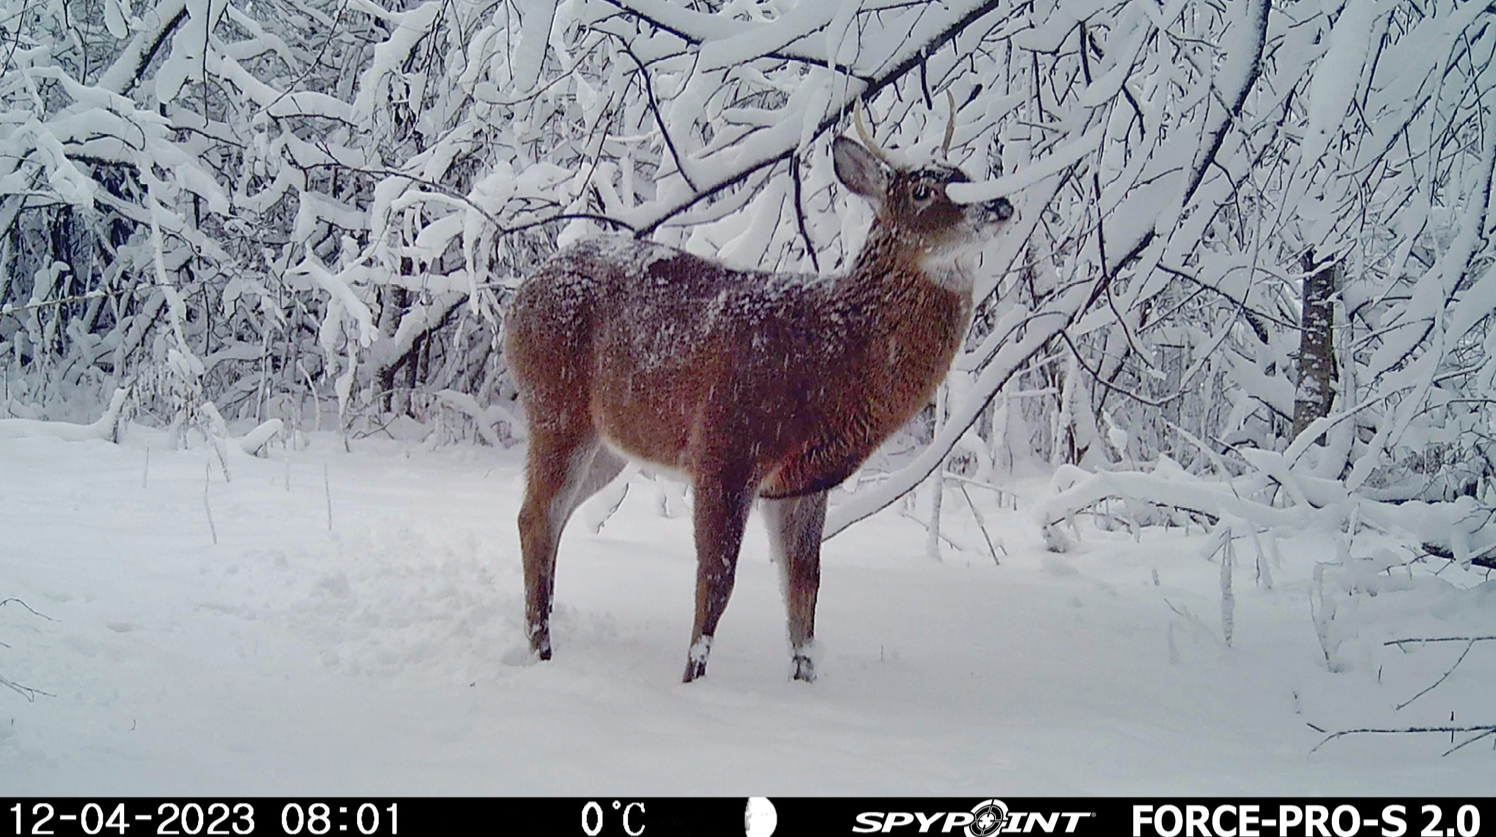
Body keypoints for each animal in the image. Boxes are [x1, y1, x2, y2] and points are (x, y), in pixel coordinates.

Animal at [504, 101, 1015, 682]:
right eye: (923, 190)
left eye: (965, 174)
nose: (1000, 202)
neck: (831, 352)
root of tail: (518, 296)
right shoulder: (725, 446)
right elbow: (717, 581)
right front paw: (691, 681)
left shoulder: (803, 482)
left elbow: (804, 591)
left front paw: (805, 682)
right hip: (555, 404)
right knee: (536, 517)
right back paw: (541, 650)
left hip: (611, 443)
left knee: (552, 516)